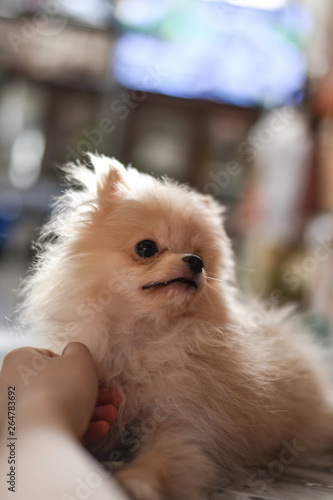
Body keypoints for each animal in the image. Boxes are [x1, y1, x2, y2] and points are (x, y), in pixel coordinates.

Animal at [21, 154, 332, 498]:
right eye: (145, 248)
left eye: (202, 257)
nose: (195, 261)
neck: (143, 336)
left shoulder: (186, 424)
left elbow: (164, 460)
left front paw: (136, 483)